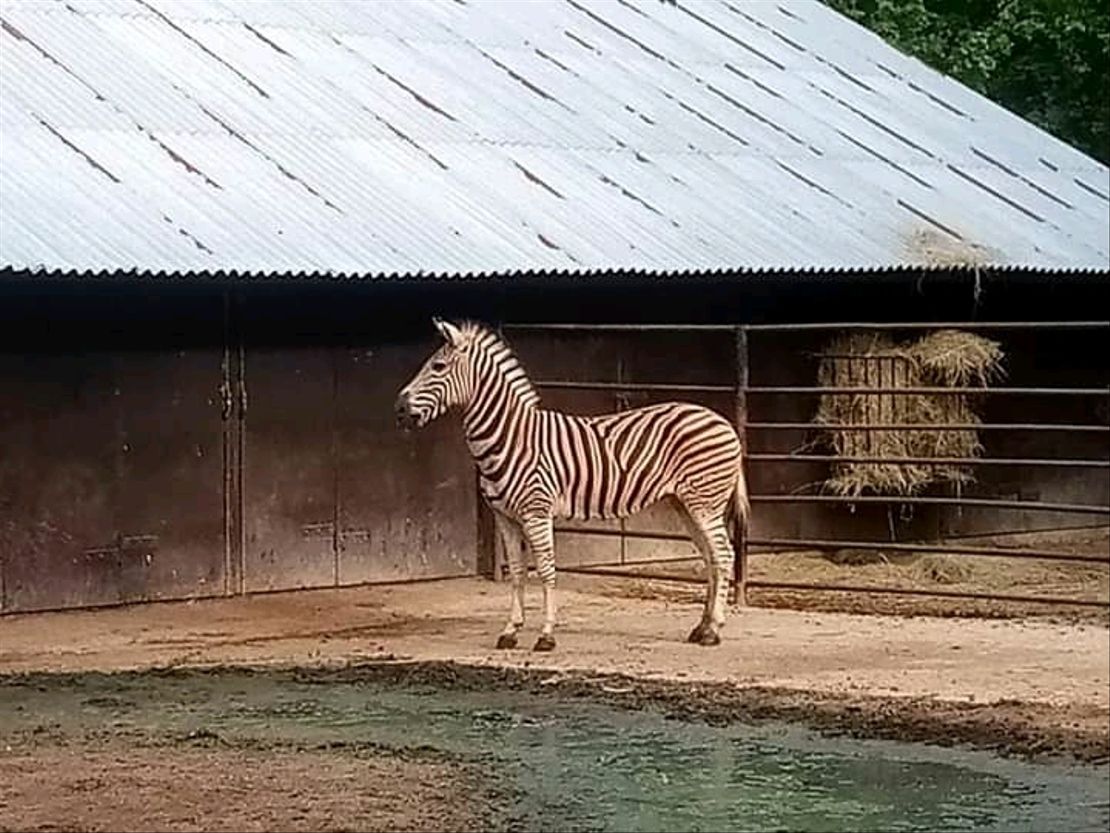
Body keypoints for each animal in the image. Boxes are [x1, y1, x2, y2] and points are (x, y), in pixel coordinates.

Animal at [395, 319, 750, 653]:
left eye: (438, 367)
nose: (398, 408)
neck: (511, 438)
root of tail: (723, 421)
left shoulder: (536, 512)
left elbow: (546, 569)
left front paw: (546, 635)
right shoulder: (504, 517)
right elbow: (518, 573)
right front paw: (510, 631)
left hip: (704, 501)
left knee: (723, 553)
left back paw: (714, 630)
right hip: (685, 504)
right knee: (712, 557)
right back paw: (701, 627)